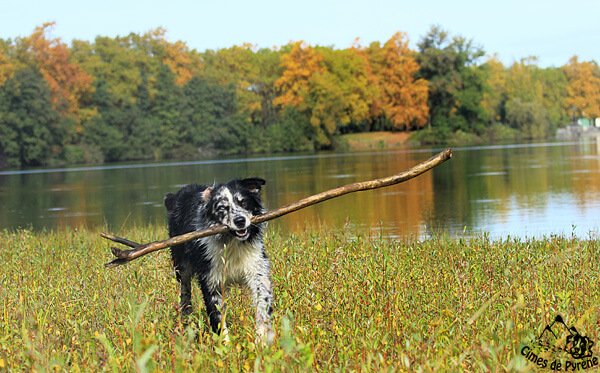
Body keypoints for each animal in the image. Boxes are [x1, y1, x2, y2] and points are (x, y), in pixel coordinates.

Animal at [162, 177, 274, 342]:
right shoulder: (210, 279)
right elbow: (217, 316)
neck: (231, 241)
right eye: (221, 208)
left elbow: (262, 305)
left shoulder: (257, 269)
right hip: (181, 264)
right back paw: (186, 315)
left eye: (243, 202)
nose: (240, 220)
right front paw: (225, 345)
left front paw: (261, 339)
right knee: (185, 289)